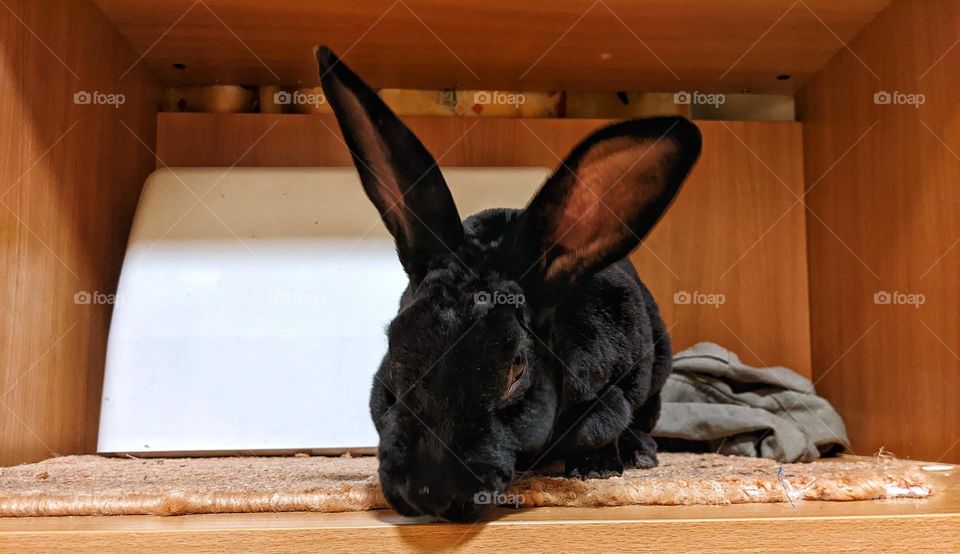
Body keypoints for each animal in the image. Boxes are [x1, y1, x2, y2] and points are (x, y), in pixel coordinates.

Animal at [315, 46, 701, 522]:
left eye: (517, 370)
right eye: (393, 346)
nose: (427, 493)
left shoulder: (612, 388)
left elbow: (602, 429)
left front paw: (597, 469)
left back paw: (640, 452)